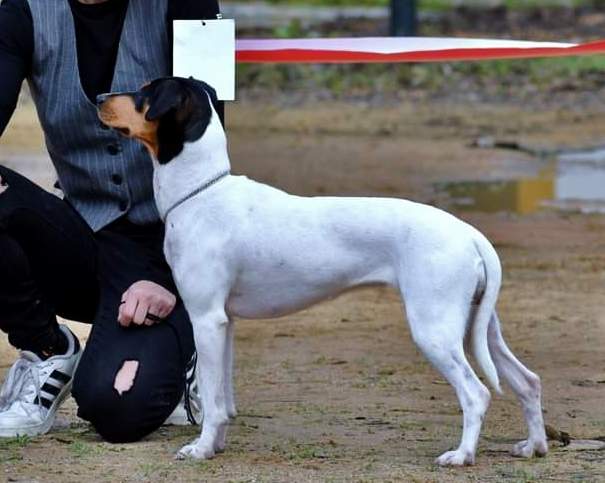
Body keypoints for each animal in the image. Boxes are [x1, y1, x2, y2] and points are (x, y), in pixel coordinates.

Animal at [98, 77, 548, 466]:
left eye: (144, 92)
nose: (99, 96)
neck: (202, 193)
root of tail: (470, 234)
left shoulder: (206, 320)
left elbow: (210, 397)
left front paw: (202, 449)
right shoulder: (224, 324)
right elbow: (222, 399)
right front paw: (217, 444)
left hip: (435, 328)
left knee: (476, 394)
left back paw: (462, 455)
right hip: (478, 327)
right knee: (527, 381)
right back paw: (534, 446)